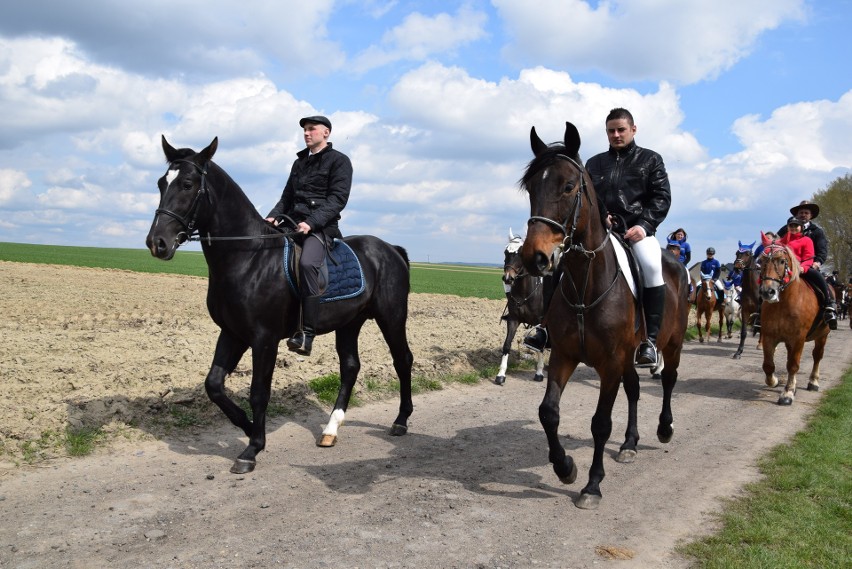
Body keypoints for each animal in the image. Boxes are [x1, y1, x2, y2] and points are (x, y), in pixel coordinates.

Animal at [146, 135, 412, 472]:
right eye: (161, 183)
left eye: (188, 184)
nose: (157, 243)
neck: (249, 258)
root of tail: (390, 249)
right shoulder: (232, 333)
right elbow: (214, 385)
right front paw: (248, 427)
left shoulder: (264, 338)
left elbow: (259, 392)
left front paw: (252, 448)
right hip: (349, 323)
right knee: (350, 366)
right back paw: (330, 429)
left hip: (392, 317)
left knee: (402, 360)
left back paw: (401, 421)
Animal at [496, 229, 548, 384]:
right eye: (506, 252)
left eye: (521, 253)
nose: (508, 278)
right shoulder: (513, 320)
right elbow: (507, 344)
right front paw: (501, 374)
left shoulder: (540, 322)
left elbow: (540, 346)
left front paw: (539, 373)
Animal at [516, 121, 688, 510]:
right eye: (531, 188)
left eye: (568, 186)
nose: (535, 257)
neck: (586, 282)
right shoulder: (565, 356)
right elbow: (548, 412)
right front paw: (565, 467)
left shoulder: (610, 363)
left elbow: (600, 423)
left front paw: (592, 485)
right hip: (628, 358)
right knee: (636, 389)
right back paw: (629, 444)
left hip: (671, 345)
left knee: (668, 380)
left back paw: (664, 428)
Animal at [756, 231, 828, 404]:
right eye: (761, 261)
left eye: (782, 261)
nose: (768, 292)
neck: (784, 303)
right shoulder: (769, 336)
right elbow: (768, 365)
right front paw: (775, 381)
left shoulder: (798, 338)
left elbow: (793, 365)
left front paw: (787, 393)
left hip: (822, 335)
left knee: (817, 355)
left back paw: (813, 382)